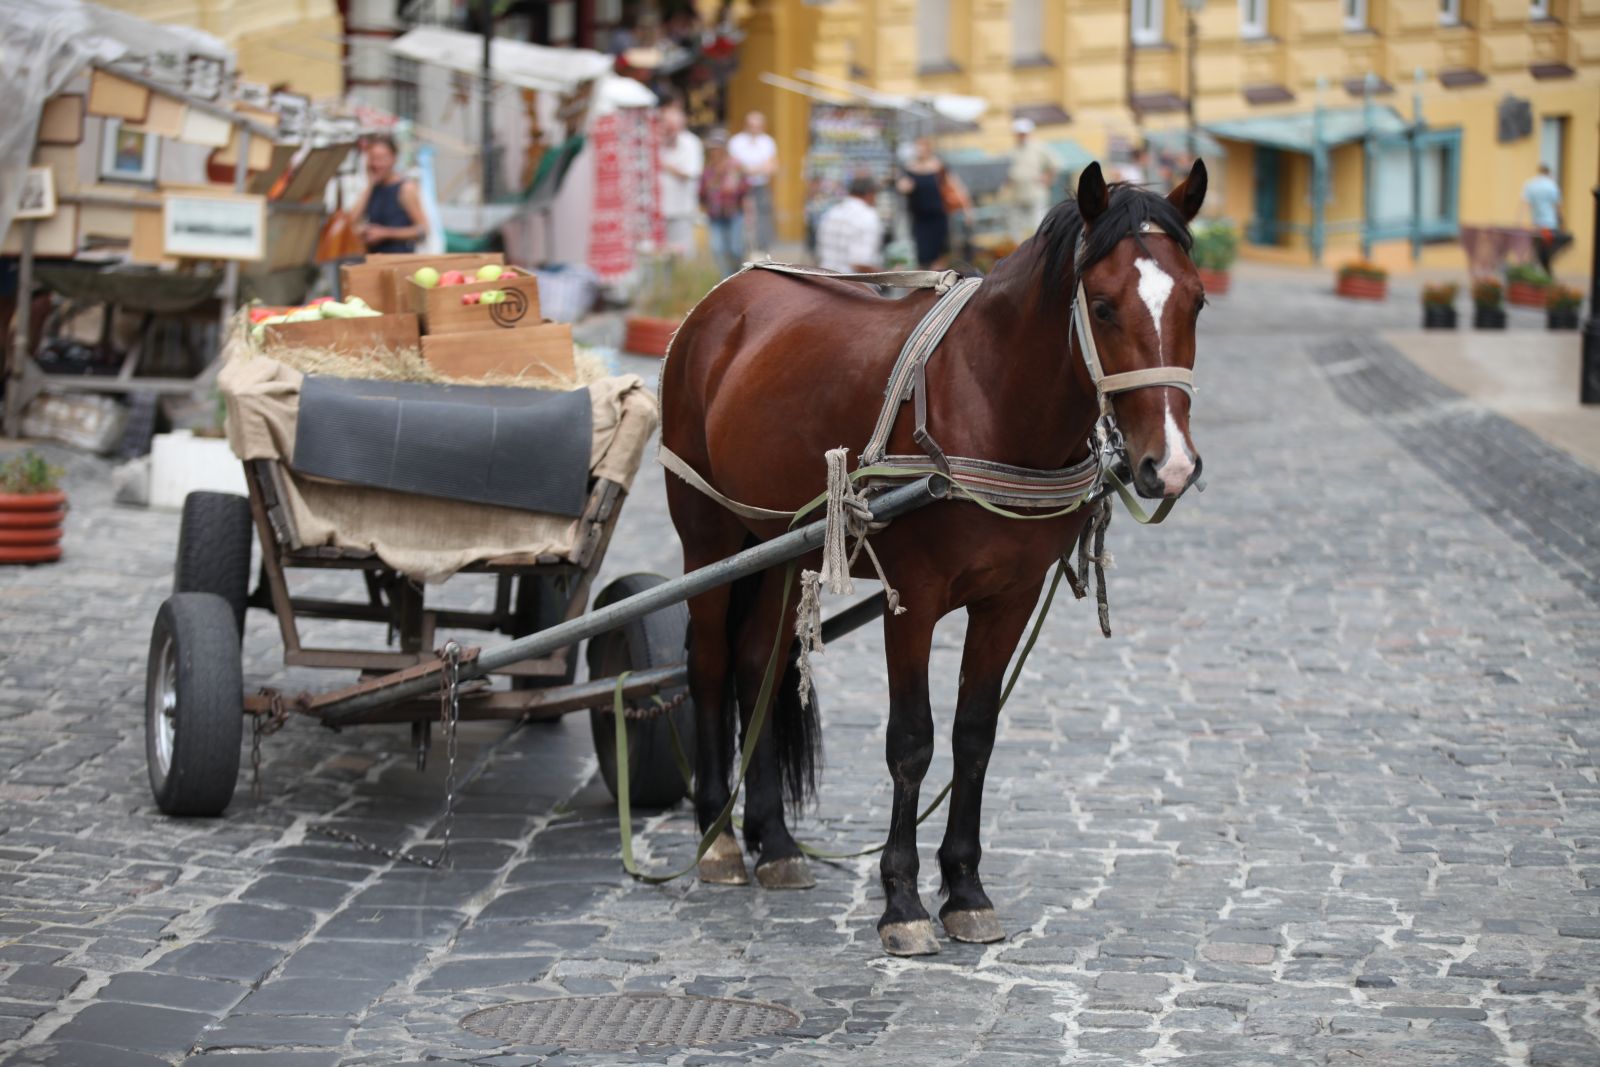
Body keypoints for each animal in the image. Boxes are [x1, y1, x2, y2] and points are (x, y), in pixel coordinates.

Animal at [656, 160, 1203, 959]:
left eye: (1197, 300)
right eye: (1102, 307)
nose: (1170, 466)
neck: (989, 399)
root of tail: (723, 299)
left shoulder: (1008, 598)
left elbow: (975, 734)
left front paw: (966, 889)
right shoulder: (911, 598)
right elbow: (912, 741)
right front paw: (903, 901)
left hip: (778, 543)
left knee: (757, 664)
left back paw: (776, 841)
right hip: (709, 535)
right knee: (709, 664)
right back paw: (720, 839)